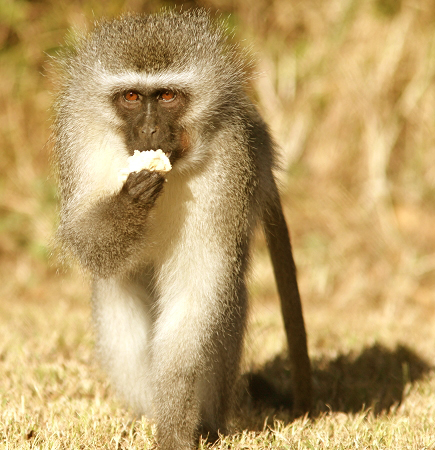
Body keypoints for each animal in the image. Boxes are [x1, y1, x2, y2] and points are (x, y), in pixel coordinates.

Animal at [51, 9, 311, 449]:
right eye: (132, 97)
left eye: (168, 97)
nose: (149, 132)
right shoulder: (81, 137)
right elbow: (87, 242)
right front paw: (131, 200)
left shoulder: (231, 157)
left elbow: (198, 285)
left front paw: (174, 427)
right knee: (116, 284)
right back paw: (144, 413)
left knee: (225, 296)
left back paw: (208, 425)